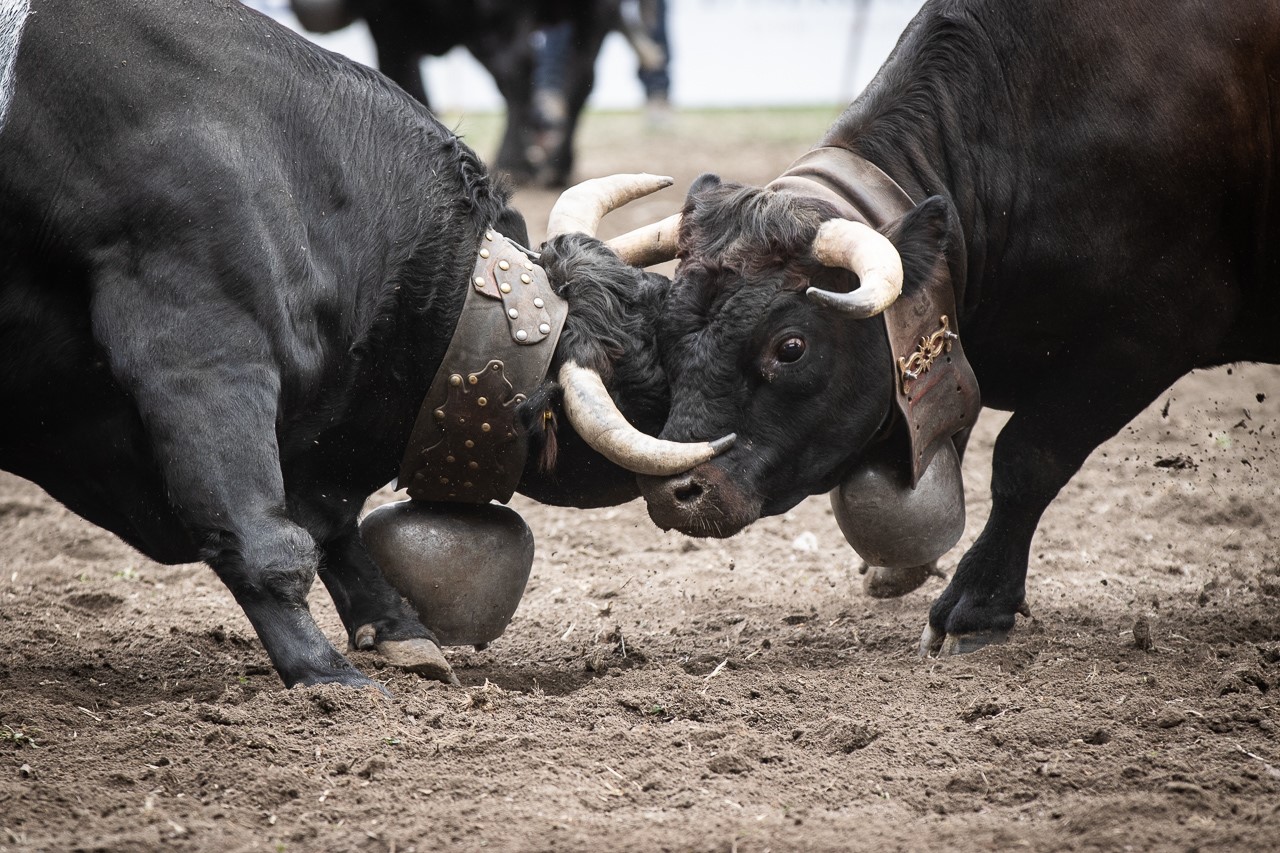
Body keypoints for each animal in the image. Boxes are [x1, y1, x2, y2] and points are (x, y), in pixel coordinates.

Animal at [0, 0, 701, 686]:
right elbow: (264, 536)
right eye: (651, 362)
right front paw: (326, 675)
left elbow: (332, 525)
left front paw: (398, 629)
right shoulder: (196, 350)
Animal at [632, 0, 1280, 650]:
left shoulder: (1151, 333)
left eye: (790, 346)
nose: (671, 491)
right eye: (662, 329)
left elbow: (1026, 459)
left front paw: (976, 602)